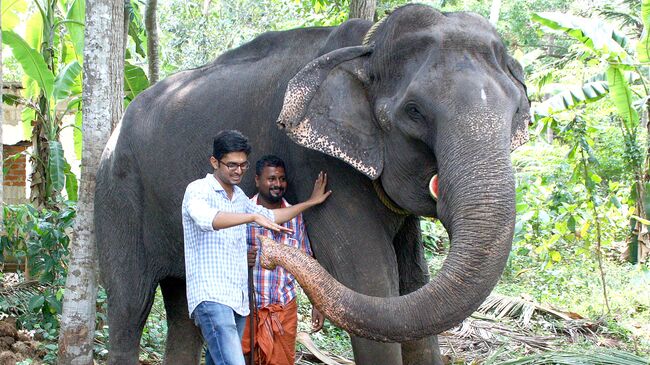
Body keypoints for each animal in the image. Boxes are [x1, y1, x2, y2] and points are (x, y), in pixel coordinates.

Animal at [93, 3, 528, 364]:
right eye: (415, 111)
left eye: (516, 112)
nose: (265, 252)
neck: (368, 46)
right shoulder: (318, 163)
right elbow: (372, 284)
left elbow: (412, 283)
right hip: (116, 193)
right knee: (129, 305)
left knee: (184, 309)